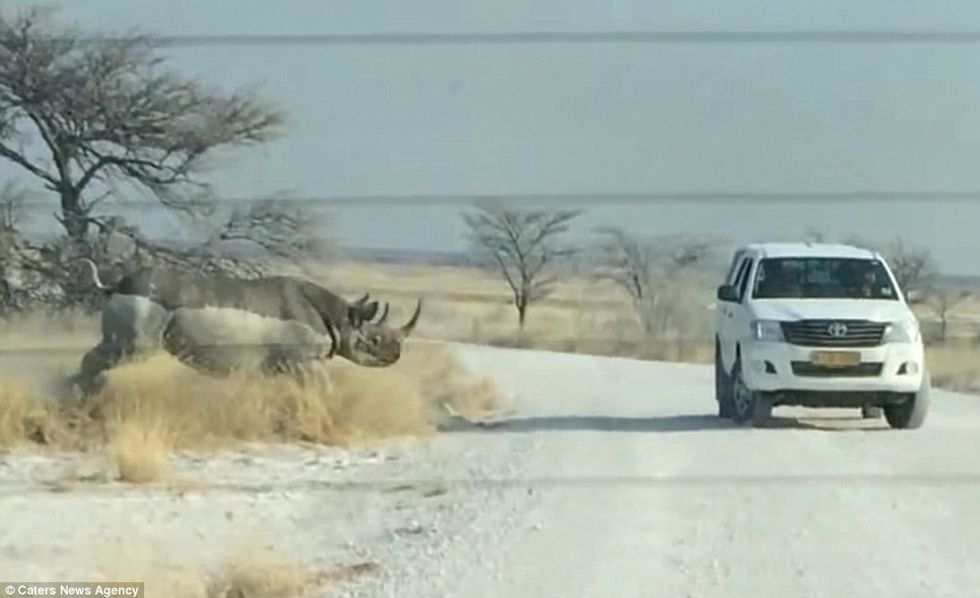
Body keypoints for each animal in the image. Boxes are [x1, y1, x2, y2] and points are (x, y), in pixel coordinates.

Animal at [72, 259, 422, 396]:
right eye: (375, 340)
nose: (396, 355)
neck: (341, 317)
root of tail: (115, 285)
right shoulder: (305, 360)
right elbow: (324, 390)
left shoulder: (279, 365)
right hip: (146, 307)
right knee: (127, 351)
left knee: (108, 351)